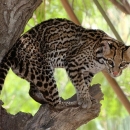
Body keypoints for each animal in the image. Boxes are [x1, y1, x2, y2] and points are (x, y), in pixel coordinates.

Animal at [0, 18, 130, 109]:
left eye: (123, 64)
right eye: (111, 62)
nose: (116, 73)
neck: (100, 62)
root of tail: (13, 49)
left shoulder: (88, 72)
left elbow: (85, 83)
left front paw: (86, 96)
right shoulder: (72, 62)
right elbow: (81, 84)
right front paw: (85, 100)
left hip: (37, 69)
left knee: (32, 91)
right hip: (44, 71)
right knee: (54, 104)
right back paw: (68, 104)